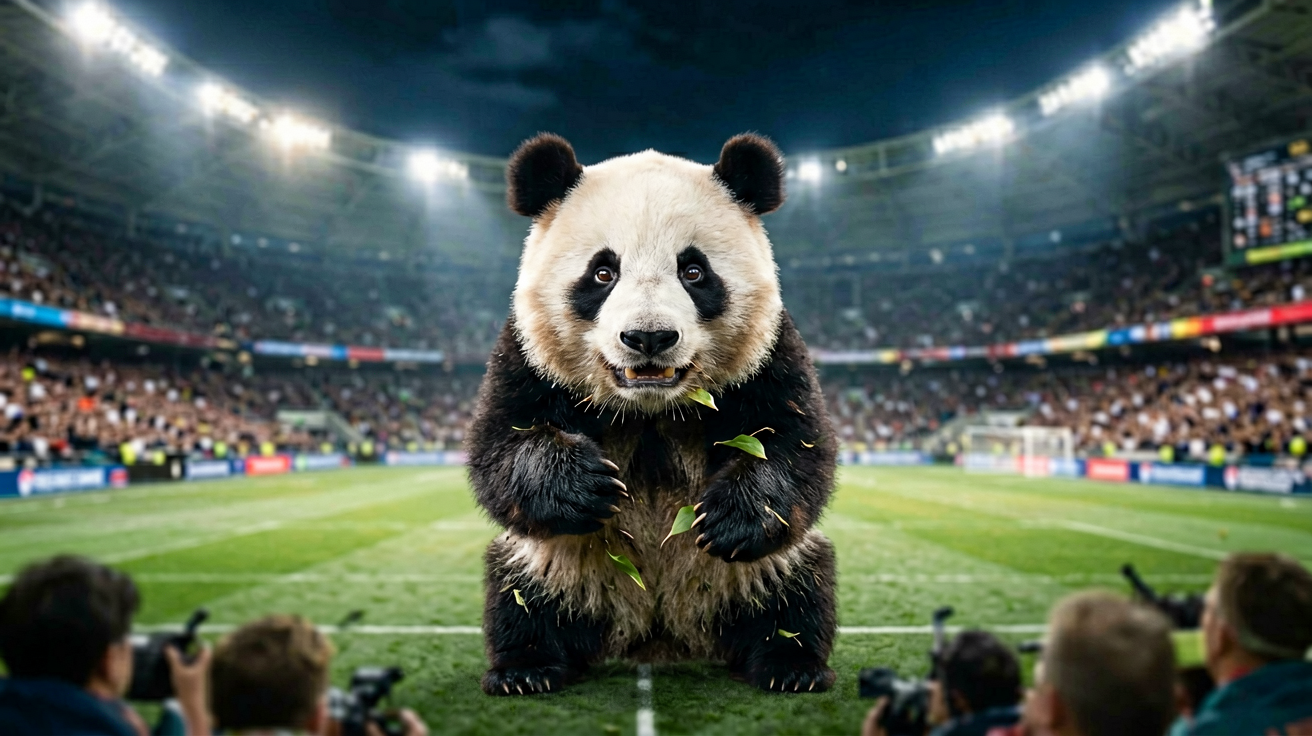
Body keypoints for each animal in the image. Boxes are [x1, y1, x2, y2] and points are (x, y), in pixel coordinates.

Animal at [466, 132, 838, 696]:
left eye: (693, 271)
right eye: (603, 272)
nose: (648, 337)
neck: (650, 411)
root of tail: (660, 637)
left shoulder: (769, 353)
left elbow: (798, 444)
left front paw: (731, 515)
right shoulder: (526, 354)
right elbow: (501, 447)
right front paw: (584, 485)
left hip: (752, 574)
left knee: (796, 588)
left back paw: (790, 666)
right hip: (562, 565)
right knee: (520, 594)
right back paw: (526, 669)